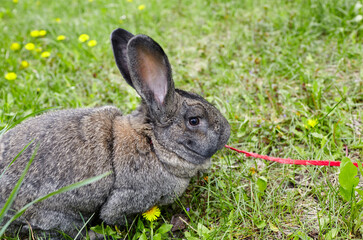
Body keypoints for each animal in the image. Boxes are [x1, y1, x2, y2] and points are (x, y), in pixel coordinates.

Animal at [0, 28, 232, 238]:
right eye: (194, 120)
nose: (227, 131)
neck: (154, 144)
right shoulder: (127, 198)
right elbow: (114, 215)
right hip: (53, 215)